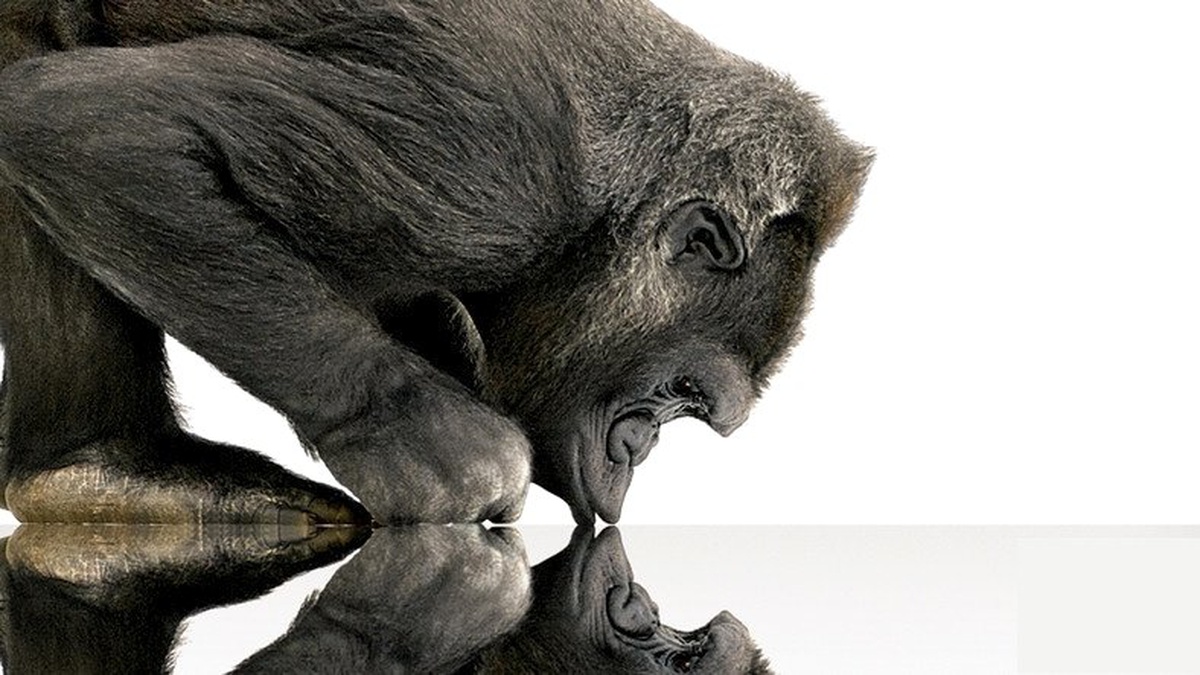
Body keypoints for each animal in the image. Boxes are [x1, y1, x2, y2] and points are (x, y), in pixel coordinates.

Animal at [0, 0, 872, 526]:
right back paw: (112, 466)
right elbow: (100, 131)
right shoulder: (494, 160)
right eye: (680, 393)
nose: (636, 451)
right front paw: (431, 449)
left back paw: (100, 463)